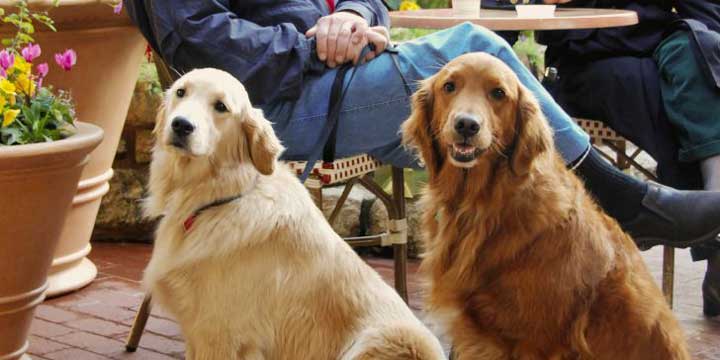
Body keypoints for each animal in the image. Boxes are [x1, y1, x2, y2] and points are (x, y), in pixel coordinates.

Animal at [144, 68, 448, 360]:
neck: (220, 196)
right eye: (181, 92)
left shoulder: (220, 335)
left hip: (380, 339)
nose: (181, 125)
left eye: (221, 106)